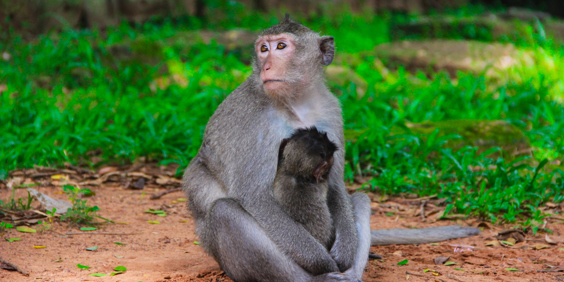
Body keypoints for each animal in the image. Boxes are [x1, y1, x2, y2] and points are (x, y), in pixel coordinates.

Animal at [183, 14, 478, 280]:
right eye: (263, 49)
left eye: (281, 47)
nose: (266, 66)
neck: (296, 102)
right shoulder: (253, 119)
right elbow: (254, 196)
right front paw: (321, 261)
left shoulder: (331, 110)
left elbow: (336, 186)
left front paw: (345, 251)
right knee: (225, 213)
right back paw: (319, 277)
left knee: (359, 199)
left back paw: (351, 275)